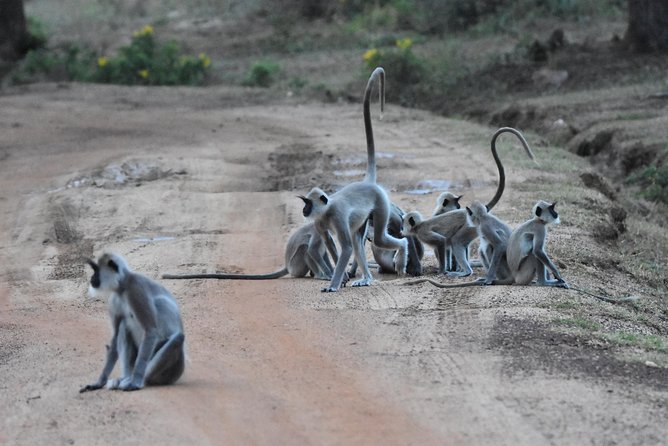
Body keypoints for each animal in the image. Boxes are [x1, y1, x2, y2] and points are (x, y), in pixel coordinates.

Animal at [80, 253, 185, 392]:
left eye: (96, 270)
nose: (92, 278)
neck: (123, 287)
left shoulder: (136, 288)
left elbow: (150, 331)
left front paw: (135, 382)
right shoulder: (114, 300)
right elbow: (115, 337)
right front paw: (99, 382)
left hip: (173, 372)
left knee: (178, 337)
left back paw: (137, 380)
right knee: (124, 326)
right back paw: (126, 377)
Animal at [163, 222, 334, 280]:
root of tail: (287, 266)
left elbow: (323, 253)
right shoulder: (318, 232)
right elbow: (313, 250)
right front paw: (327, 275)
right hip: (296, 266)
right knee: (305, 249)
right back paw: (317, 275)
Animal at [302, 64, 408, 290]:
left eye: (308, 203)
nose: (304, 210)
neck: (327, 210)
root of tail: (368, 182)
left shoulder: (338, 215)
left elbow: (347, 248)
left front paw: (333, 285)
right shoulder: (320, 222)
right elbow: (331, 244)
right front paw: (341, 278)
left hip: (381, 203)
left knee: (377, 239)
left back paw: (401, 254)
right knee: (358, 239)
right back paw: (366, 278)